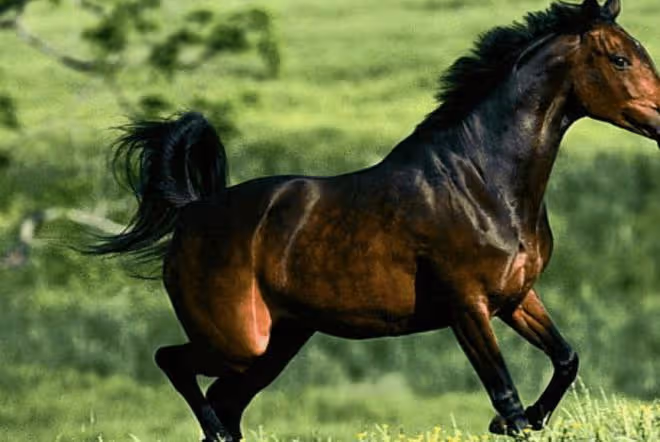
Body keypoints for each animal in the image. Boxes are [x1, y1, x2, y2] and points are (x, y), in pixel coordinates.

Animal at [90, 0, 660, 439]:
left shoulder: (515, 298)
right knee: (173, 362)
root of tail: (191, 212)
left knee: (224, 401)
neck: (482, 183)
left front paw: (525, 420)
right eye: (619, 59)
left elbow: (566, 359)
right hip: (236, 342)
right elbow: (505, 393)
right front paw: (509, 423)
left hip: (275, 345)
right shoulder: (467, 305)